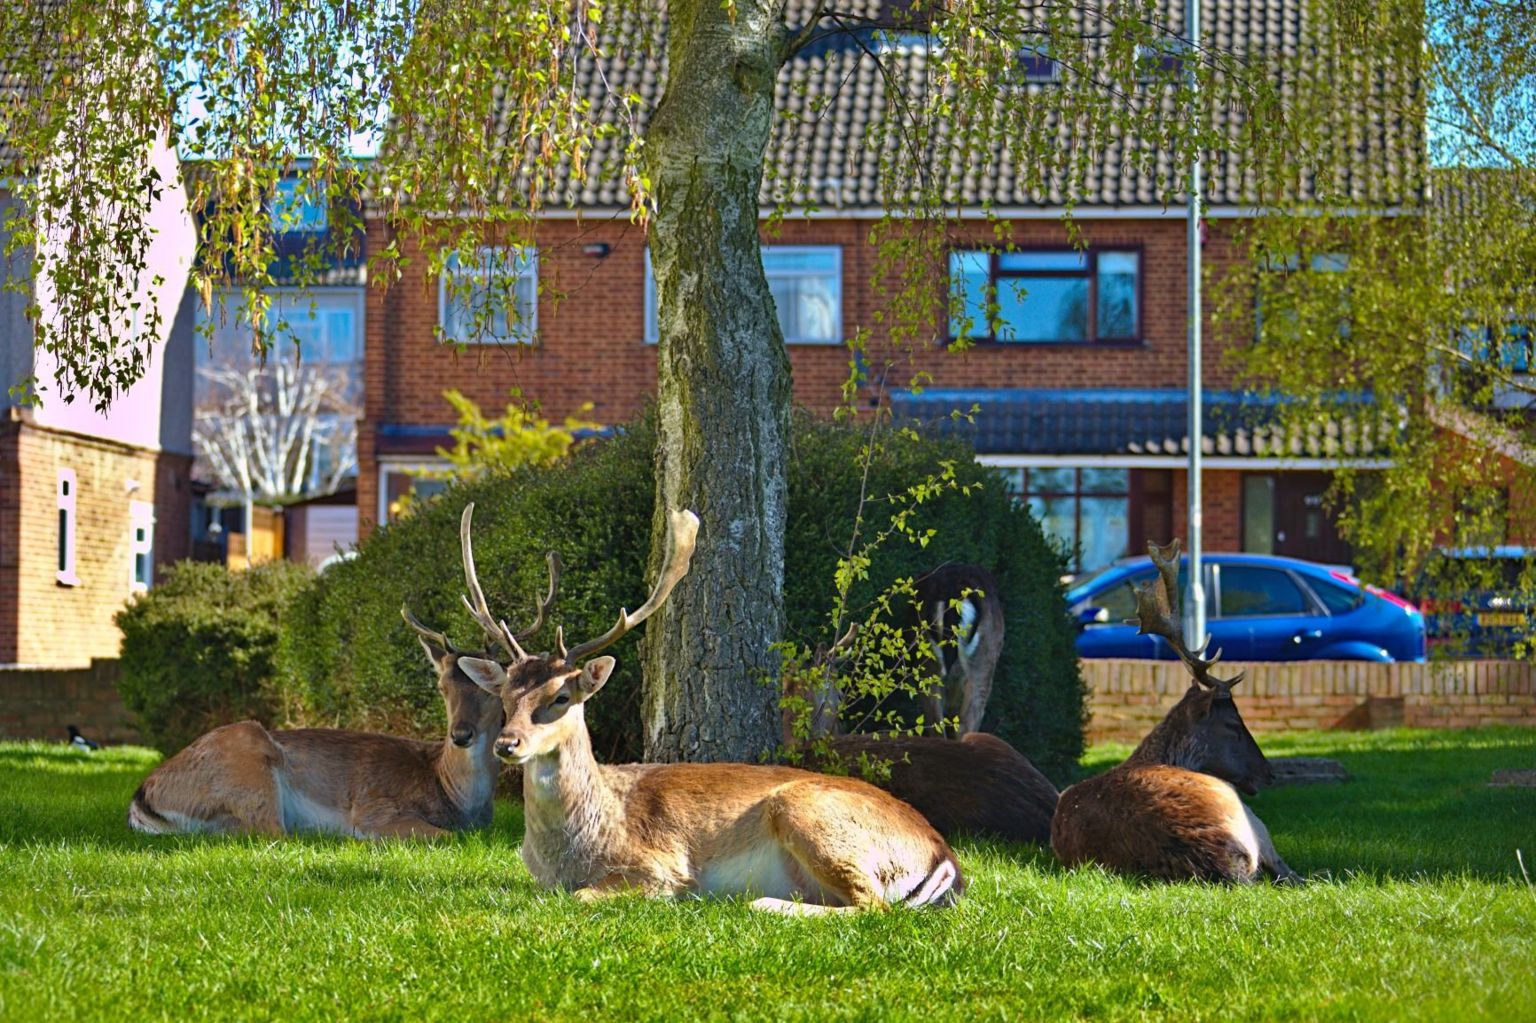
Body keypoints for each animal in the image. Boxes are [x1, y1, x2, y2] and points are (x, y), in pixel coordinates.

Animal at [116, 589, 534, 835]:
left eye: (490, 690)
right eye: (442, 687)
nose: (460, 734)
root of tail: (143, 796)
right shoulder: (373, 808)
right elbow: (441, 837)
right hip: (249, 770)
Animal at [448, 500, 964, 909]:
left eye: (561, 696)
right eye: (504, 696)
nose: (508, 743)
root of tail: (943, 855)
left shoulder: (661, 866)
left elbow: (585, 896)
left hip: (815, 817)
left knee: (874, 906)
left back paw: (762, 902)